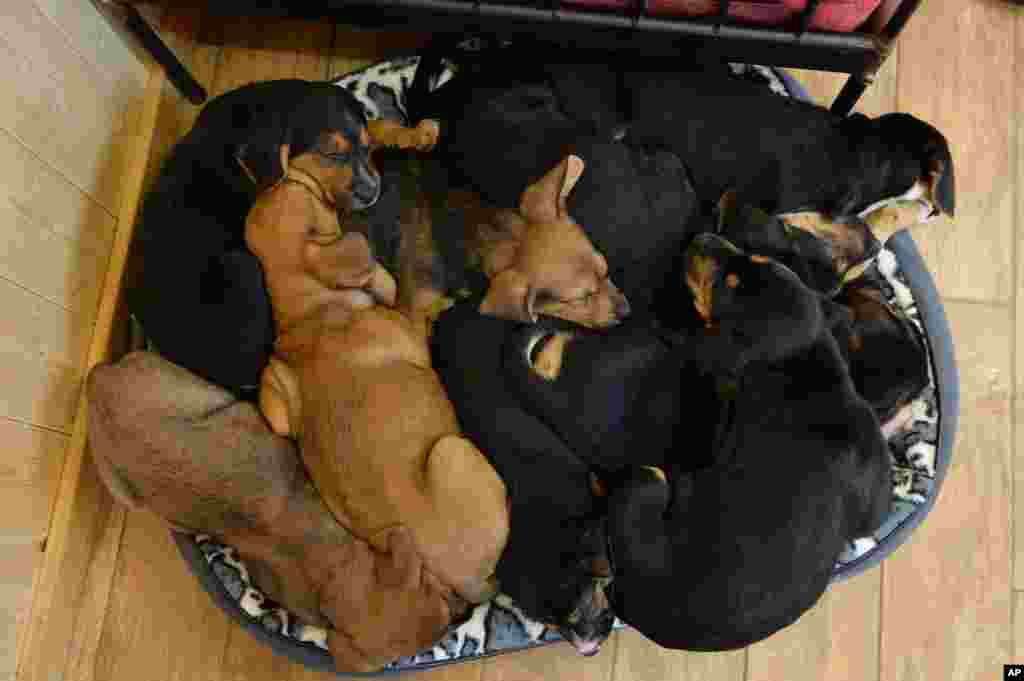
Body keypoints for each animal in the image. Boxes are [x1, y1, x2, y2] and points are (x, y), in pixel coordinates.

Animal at [242, 124, 507, 602]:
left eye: (296, 183)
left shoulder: (276, 390)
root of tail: (461, 582)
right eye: (314, 193)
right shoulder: (408, 328)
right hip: (454, 452)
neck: (308, 308)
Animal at [602, 232, 892, 647]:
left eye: (730, 283)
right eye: (755, 257)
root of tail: (640, 614)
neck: (797, 365)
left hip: (644, 478)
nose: (703, 236)